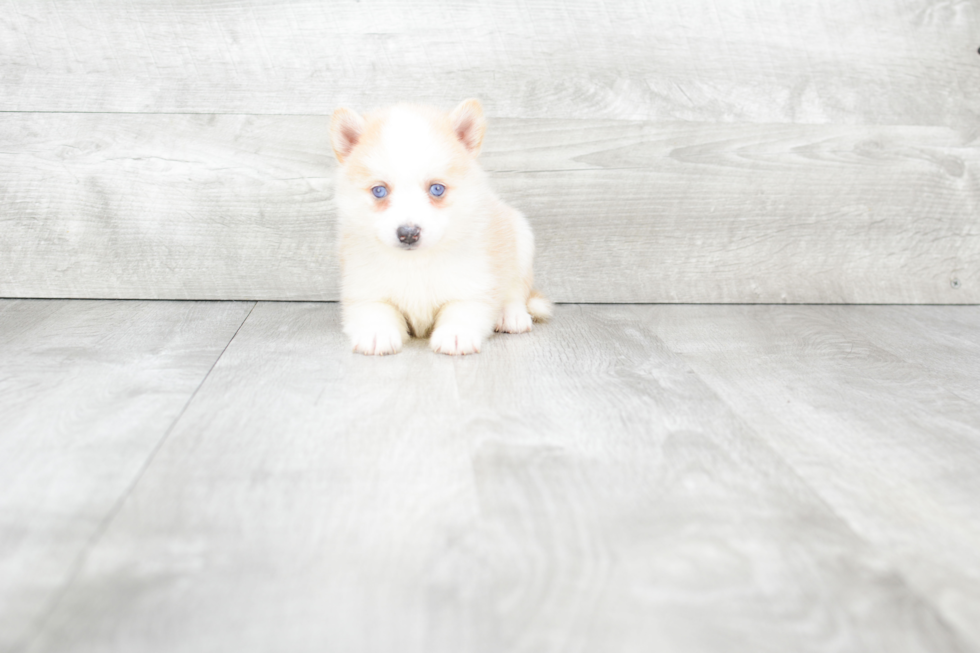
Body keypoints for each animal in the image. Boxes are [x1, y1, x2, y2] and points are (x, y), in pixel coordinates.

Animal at [332, 98, 552, 354]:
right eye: (379, 191)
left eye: (437, 189)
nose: (408, 234)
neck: (415, 263)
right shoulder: (365, 289)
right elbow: (376, 310)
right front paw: (377, 333)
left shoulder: (473, 284)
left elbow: (461, 309)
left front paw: (455, 334)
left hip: (521, 238)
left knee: (516, 291)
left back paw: (511, 316)